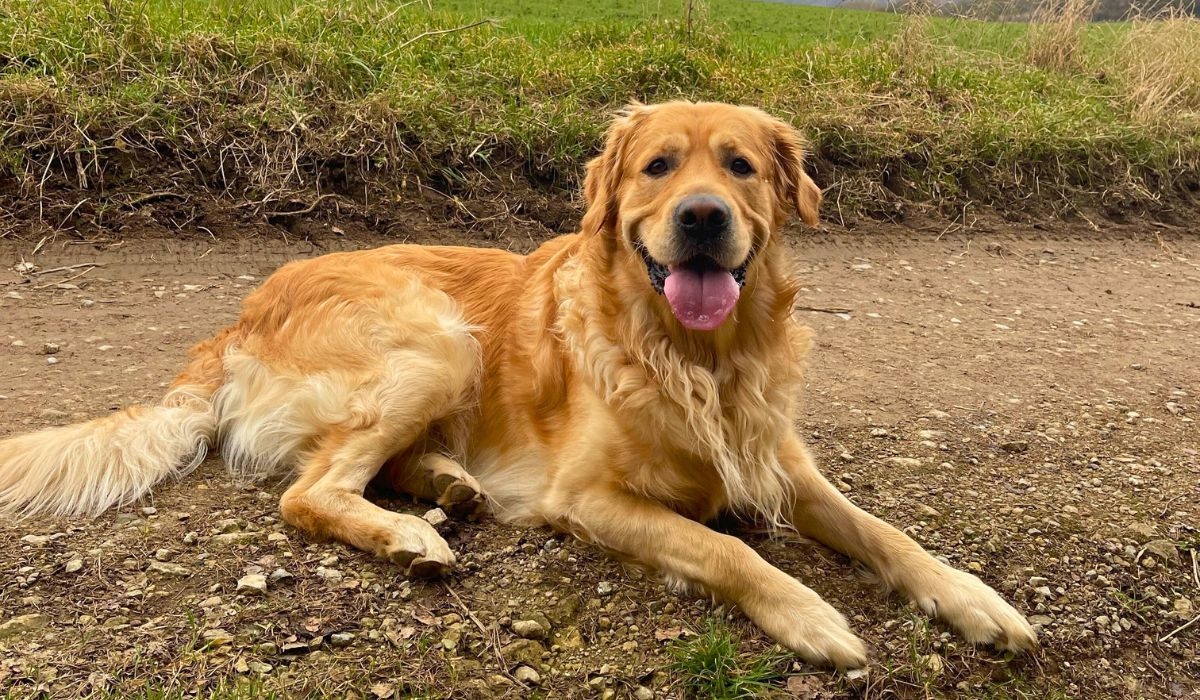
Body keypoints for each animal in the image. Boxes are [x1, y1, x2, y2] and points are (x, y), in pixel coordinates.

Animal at [0, 101, 1032, 667]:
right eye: (659, 166)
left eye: (740, 167)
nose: (703, 217)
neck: (692, 354)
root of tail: (240, 313)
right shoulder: (589, 496)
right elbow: (727, 550)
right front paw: (811, 615)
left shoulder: (781, 461)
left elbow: (886, 532)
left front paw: (973, 600)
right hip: (439, 343)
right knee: (309, 490)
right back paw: (412, 533)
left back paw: (449, 486)